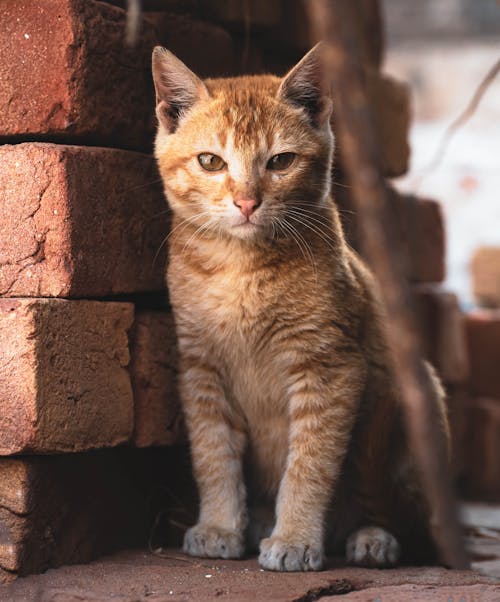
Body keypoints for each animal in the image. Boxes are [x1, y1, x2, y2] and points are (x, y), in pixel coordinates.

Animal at [150, 44, 448, 568]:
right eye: (210, 161)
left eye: (281, 161)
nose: (247, 202)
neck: (241, 269)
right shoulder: (200, 370)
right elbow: (213, 455)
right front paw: (220, 525)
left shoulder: (330, 368)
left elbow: (309, 465)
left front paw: (294, 537)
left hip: (415, 402)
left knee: (399, 514)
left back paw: (373, 537)